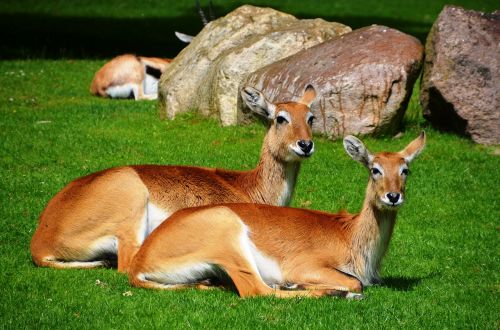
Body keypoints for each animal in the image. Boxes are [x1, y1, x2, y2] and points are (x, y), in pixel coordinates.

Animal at [129, 132, 426, 300]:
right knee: (255, 290)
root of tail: (139, 264)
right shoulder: (305, 265)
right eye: (374, 169)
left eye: (405, 170)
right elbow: (356, 282)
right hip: (230, 238)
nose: (393, 196)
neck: (350, 236)